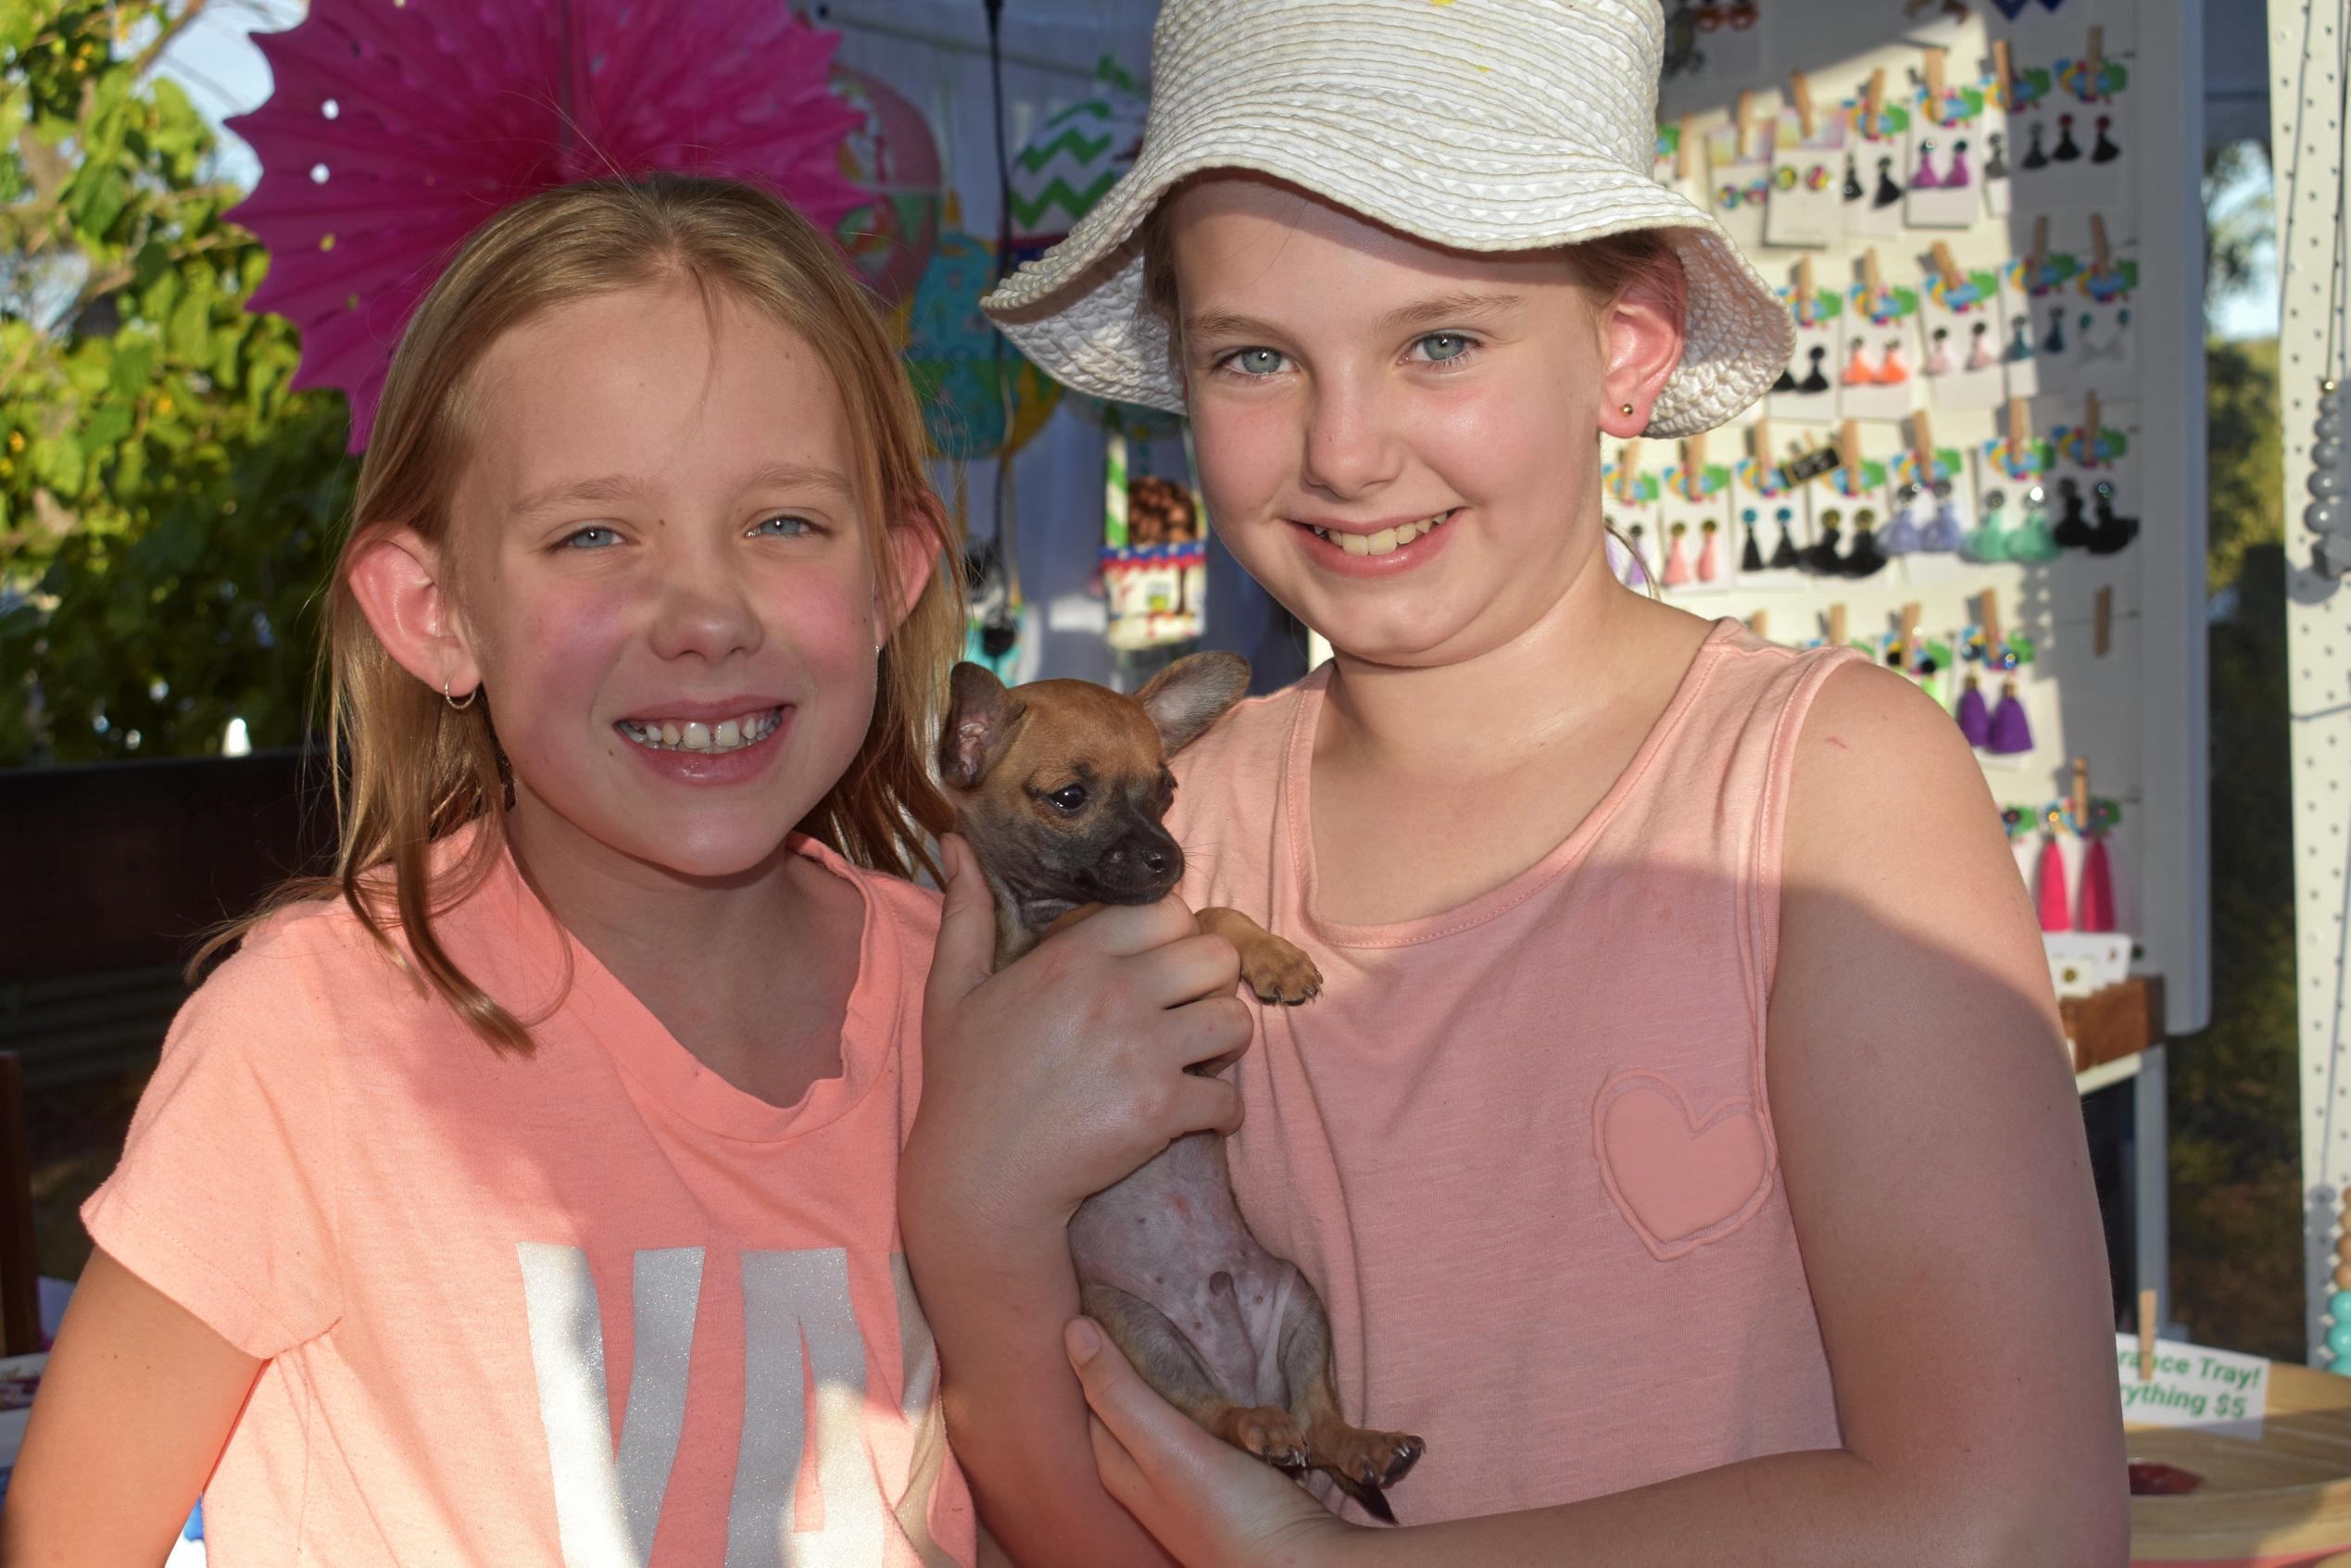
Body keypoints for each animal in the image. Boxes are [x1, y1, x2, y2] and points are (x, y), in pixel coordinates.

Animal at [940, 658, 1419, 1523]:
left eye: (1165, 789)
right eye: (1070, 796)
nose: (1168, 858)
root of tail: (1244, 1371)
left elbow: (1216, 910)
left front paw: (1274, 956)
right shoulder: (1038, 953)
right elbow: (1192, 916)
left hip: (1301, 1304)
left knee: (1320, 1418)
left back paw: (1363, 1443)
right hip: (1146, 1338)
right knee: (1220, 1415)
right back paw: (1259, 1426)